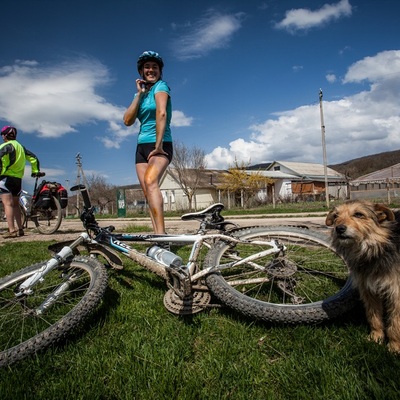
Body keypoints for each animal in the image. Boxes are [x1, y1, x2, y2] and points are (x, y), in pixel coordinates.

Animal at [326, 202, 400, 352]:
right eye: (336, 216)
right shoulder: (368, 289)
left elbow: (395, 322)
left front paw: (394, 347)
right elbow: (374, 317)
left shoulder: (396, 292)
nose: (339, 229)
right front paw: (376, 338)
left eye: (359, 214)